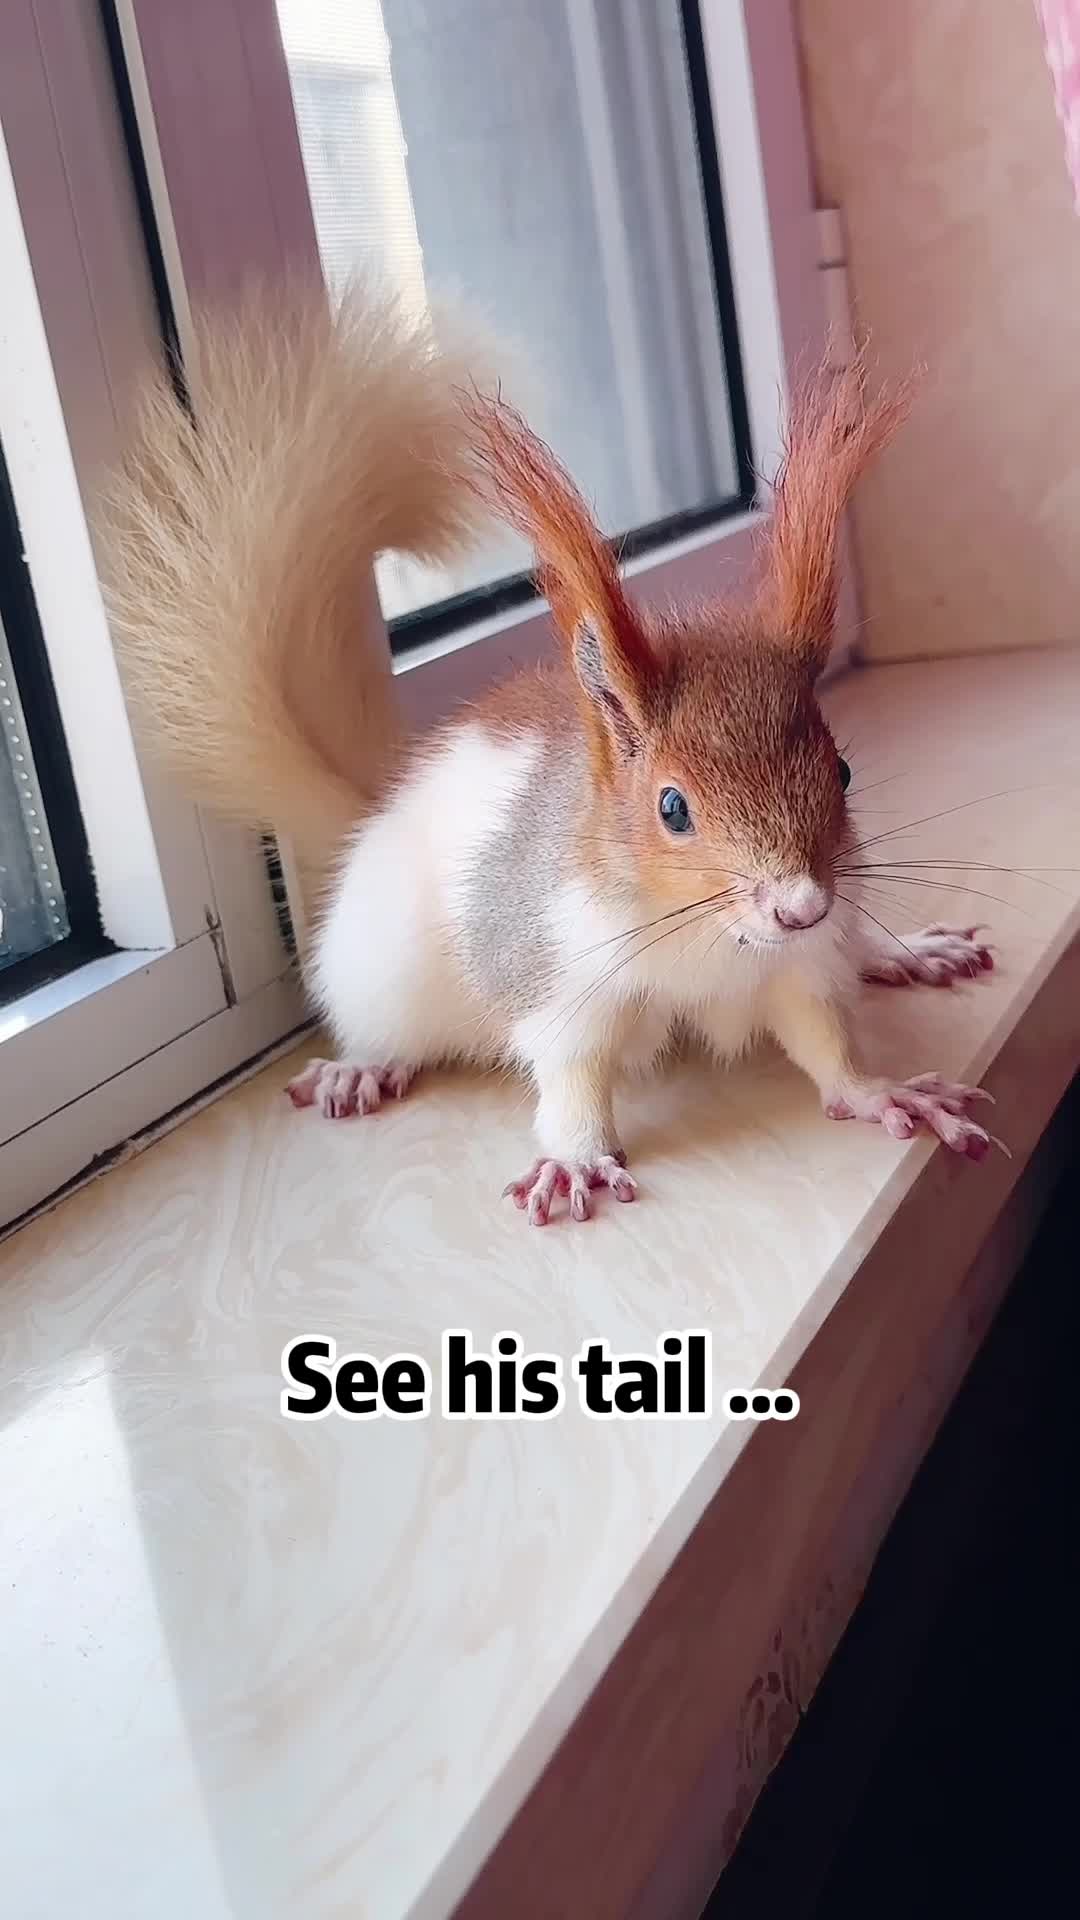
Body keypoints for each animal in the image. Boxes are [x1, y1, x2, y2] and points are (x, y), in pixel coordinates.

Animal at [105, 283, 998, 1226]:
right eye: (671, 807)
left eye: (843, 772)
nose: (800, 907)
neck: (708, 937)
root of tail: (371, 818)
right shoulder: (559, 973)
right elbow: (571, 1077)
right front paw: (572, 1158)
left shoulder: (797, 971)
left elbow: (828, 1045)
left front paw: (886, 1091)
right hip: (383, 970)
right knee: (385, 1025)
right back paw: (364, 1065)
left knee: (854, 948)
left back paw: (903, 951)